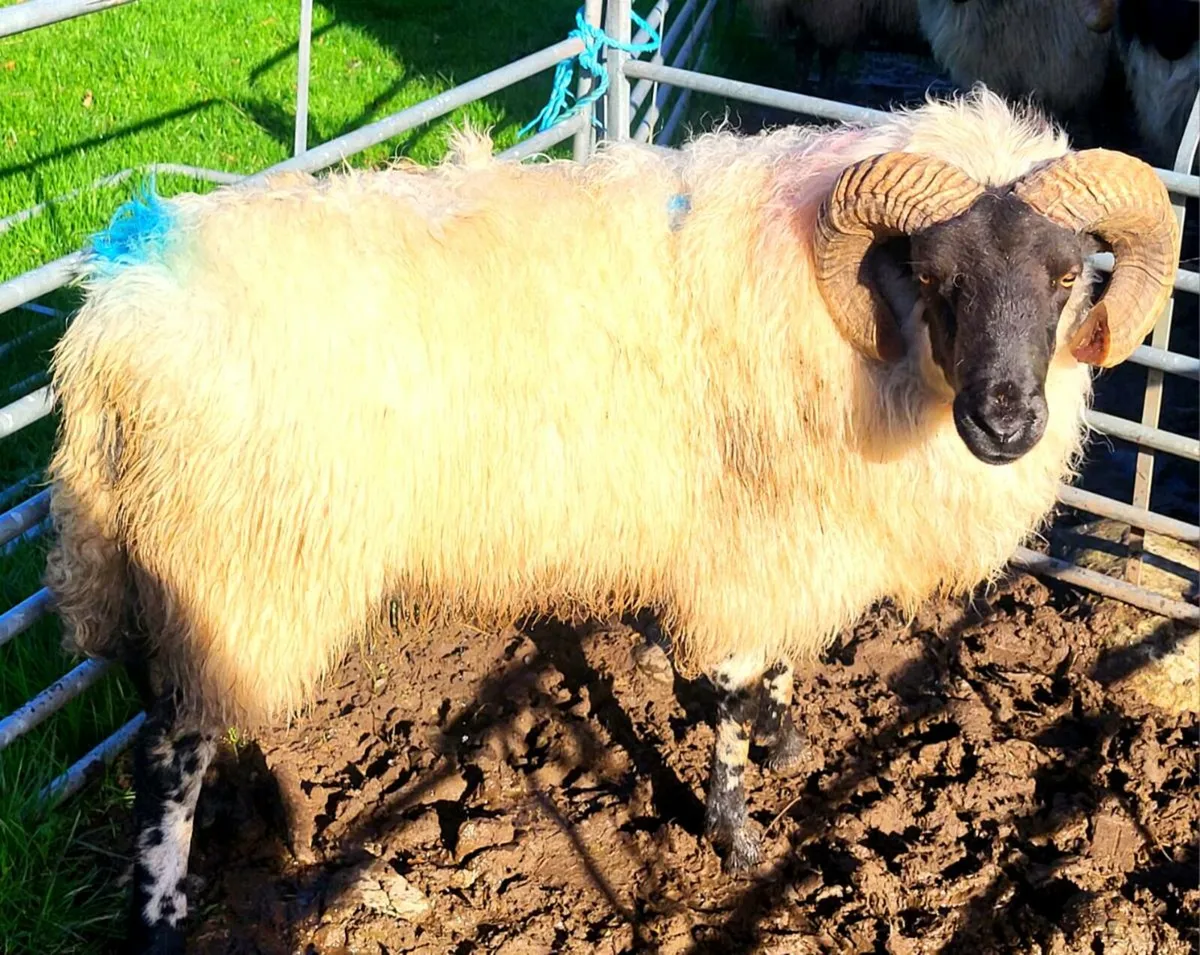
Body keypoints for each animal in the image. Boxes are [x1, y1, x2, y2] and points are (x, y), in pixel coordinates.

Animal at [43, 90, 1179, 953]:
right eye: (934, 276)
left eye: (1067, 274)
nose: (1007, 420)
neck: (844, 321)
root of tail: (113, 317)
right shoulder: (745, 540)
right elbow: (729, 691)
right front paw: (737, 834)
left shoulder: (787, 535)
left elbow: (775, 666)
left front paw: (787, 741)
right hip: (237, 564)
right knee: (169, 750)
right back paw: (162, 915)